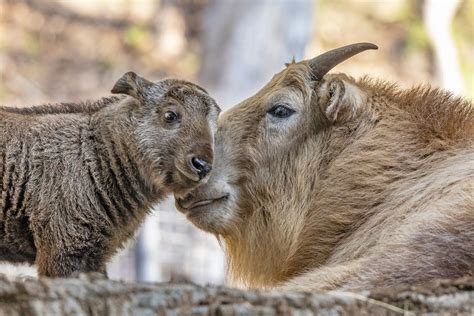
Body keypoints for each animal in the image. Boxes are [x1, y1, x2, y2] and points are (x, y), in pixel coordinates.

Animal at [0, 72, 218, 276]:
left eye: (214, 130)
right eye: (170, 115)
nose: (202, 165)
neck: (97, 154)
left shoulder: (94, 257)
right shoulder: (63, 248)